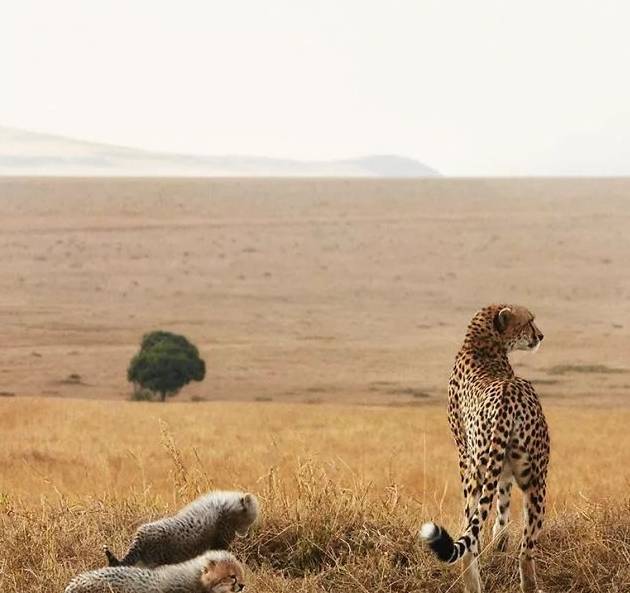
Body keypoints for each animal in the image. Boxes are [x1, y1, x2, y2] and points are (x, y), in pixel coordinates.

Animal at [422, 306, 552, 592]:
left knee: (473, 533)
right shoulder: (473, 457)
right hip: (533, 478)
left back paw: (475, 583)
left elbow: (490, 513)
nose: (540, 335)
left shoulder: (476, 462)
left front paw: (497, 541)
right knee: (525, 549)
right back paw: (527, 584)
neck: (481, 344)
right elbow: (503, 500)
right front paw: (500, 540)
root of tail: (507, 395)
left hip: (482, 472)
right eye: (529, 321)